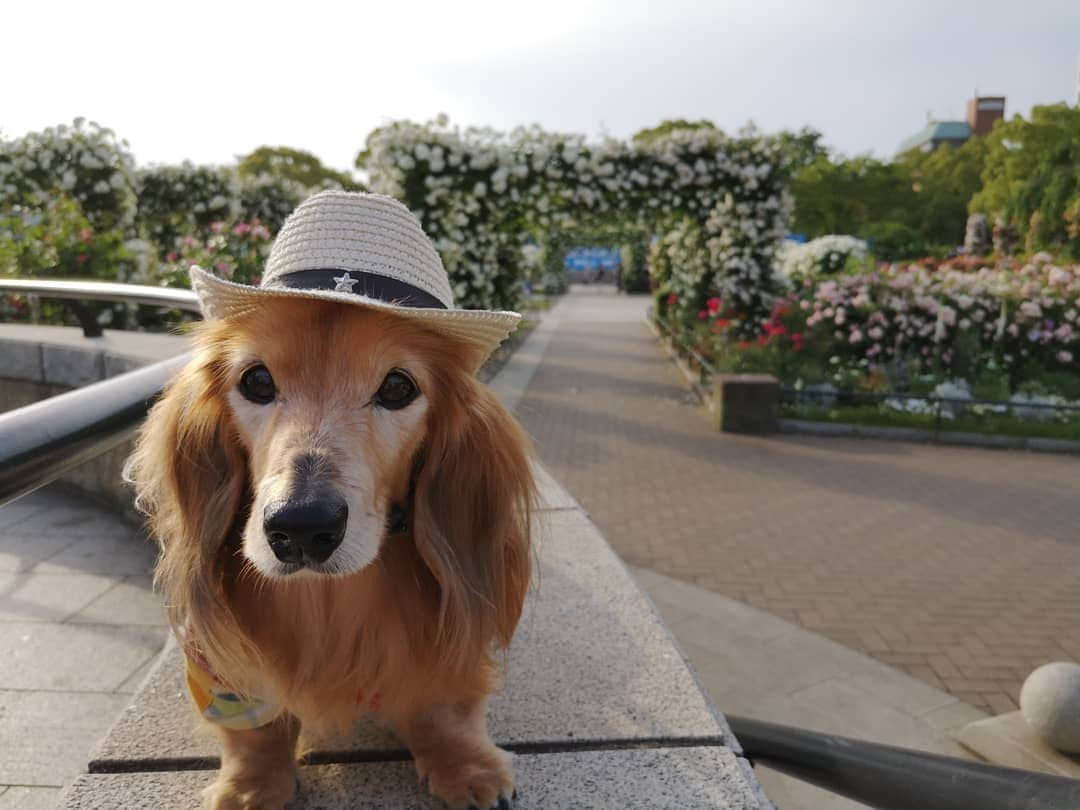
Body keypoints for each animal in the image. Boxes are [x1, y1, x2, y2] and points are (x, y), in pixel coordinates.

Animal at [125, 193, 535, 807]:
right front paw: (251, 782)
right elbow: (253, 728)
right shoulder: (219, 668)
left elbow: (444, 707)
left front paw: (467, 765)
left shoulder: (452, 635)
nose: (300, 528)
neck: (329, 600)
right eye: (256, 381)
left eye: (397, 387)